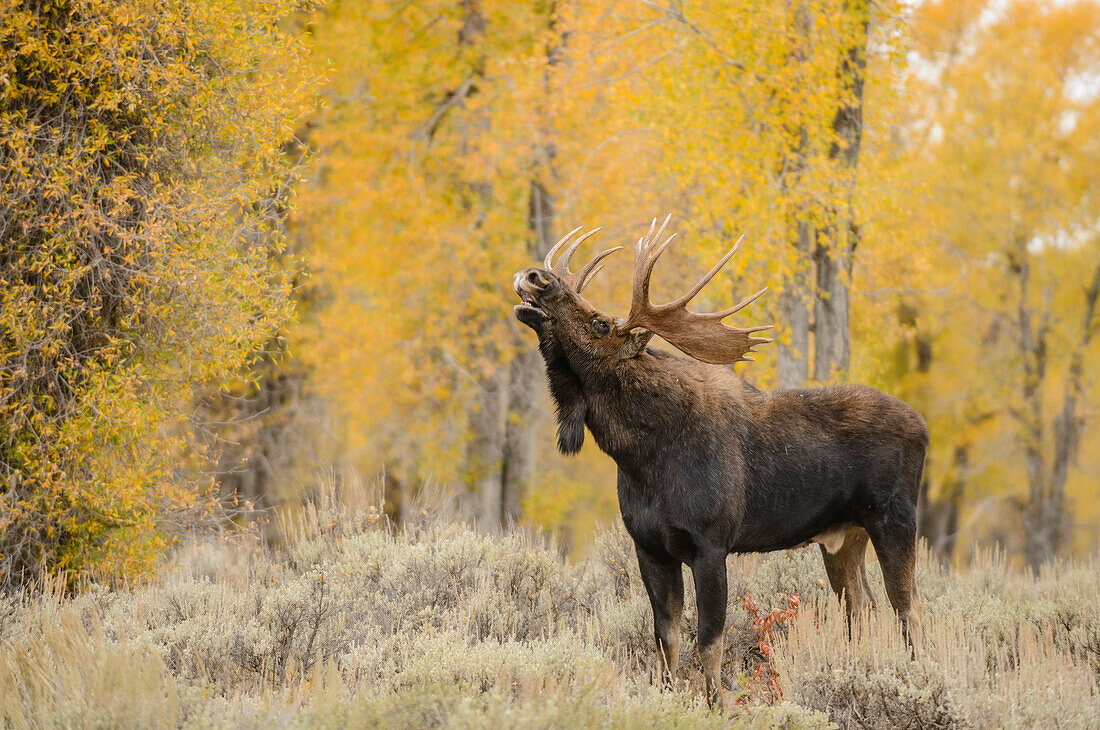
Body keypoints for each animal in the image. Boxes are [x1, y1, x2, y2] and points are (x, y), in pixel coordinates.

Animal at [510, 216, 924, 708]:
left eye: (601, 322)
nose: (535, 276)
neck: (642, 456)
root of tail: (924, 426)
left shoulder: (711, 544)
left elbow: (709, 643)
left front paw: (715, 705)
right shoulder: (649, 545)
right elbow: (666, 639)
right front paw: (668, 698)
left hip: (895, 518)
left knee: (908, 610)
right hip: (843, 537)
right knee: (863, 608)